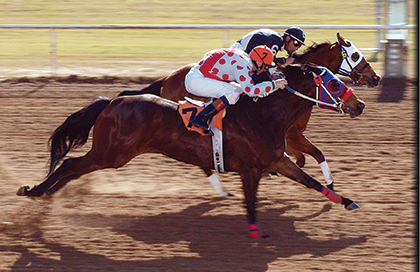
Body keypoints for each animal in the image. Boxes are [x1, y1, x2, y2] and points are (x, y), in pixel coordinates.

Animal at [16, 63, 364, 238]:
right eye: (334, 84)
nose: (359, 105)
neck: (264, 115)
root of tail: (112, 101)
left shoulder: (277, 160)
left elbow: (312, 182)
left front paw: (347, 201)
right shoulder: (250, 170)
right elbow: (251, 204)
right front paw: (254, 237)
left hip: (111, 154)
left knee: (73, 169)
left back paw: (44, 195)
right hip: (111, 154)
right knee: (70, 165)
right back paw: (34, 191)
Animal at [117, 32, 380, 193]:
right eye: (355, 55)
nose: (375, 78)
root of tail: (166, 79)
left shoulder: (289, 136)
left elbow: (308, 157)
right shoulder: (292, 133)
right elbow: (316, 153)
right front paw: (329, 184)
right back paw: (222, 190)